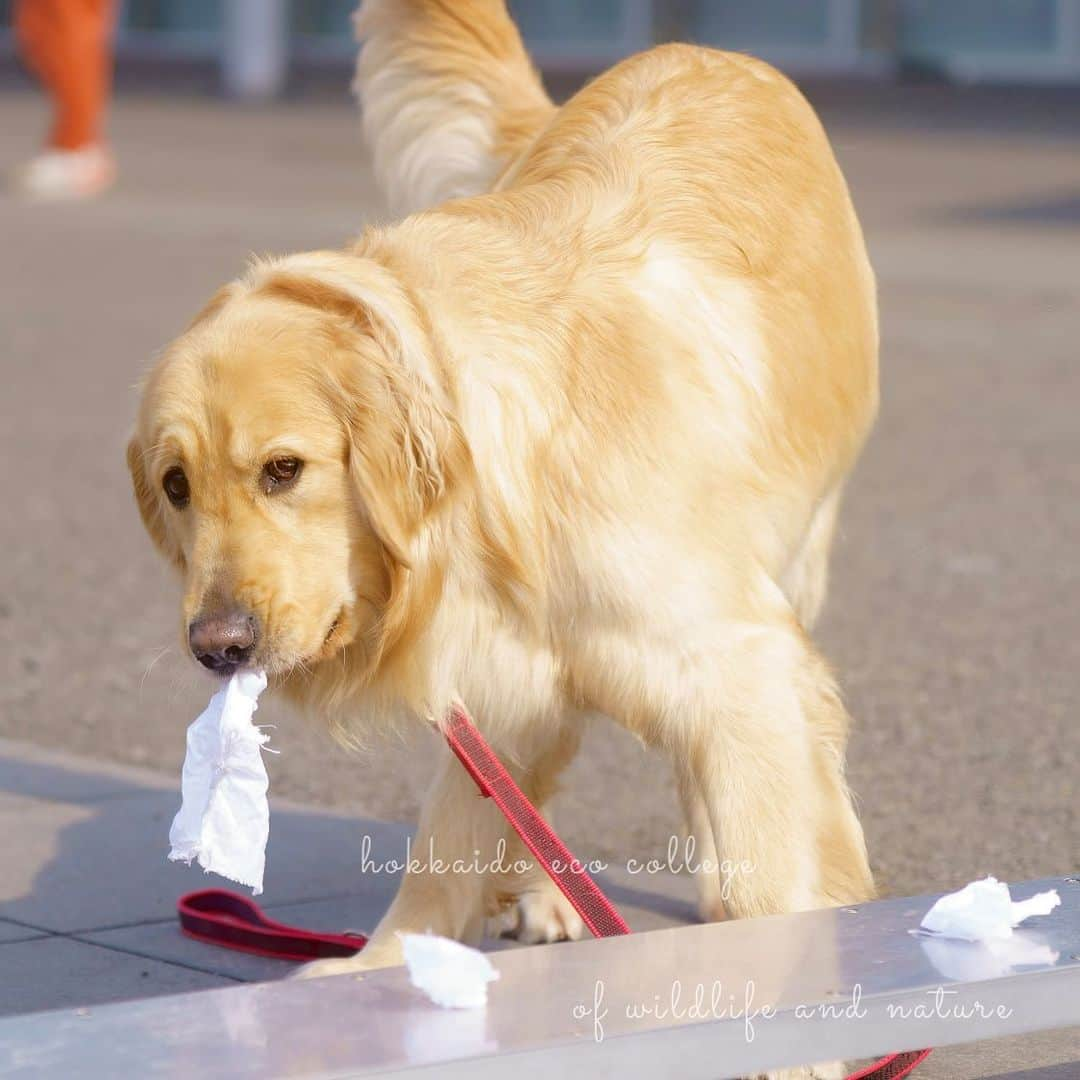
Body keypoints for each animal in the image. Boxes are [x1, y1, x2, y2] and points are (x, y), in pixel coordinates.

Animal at [128, 0, 876, 989]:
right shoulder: (493, 678)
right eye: (175, 485)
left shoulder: (739, 658)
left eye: (283, 469)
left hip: (791, 554)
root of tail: (705, 51)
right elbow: (449, 839)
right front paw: (385, 965)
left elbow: (771, 858)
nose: (217, 646)